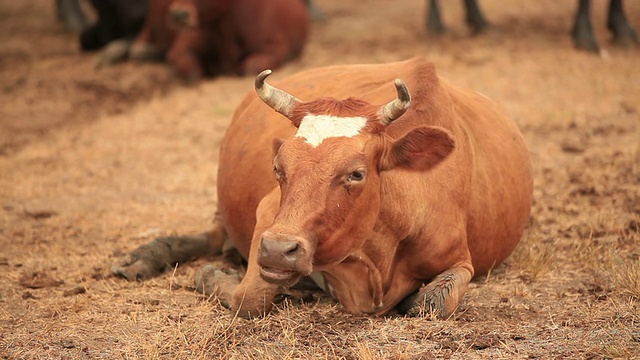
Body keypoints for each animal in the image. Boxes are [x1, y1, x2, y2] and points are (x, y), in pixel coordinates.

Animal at [111, 57, 536, 320]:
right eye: (278, 167)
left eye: (356, 174)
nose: (278, 250)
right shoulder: (268, 215)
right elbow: (249, 298)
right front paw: (212, 275)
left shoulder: (461, 261)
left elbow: (432, 303)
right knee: (212, 235)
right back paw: (143, 257)